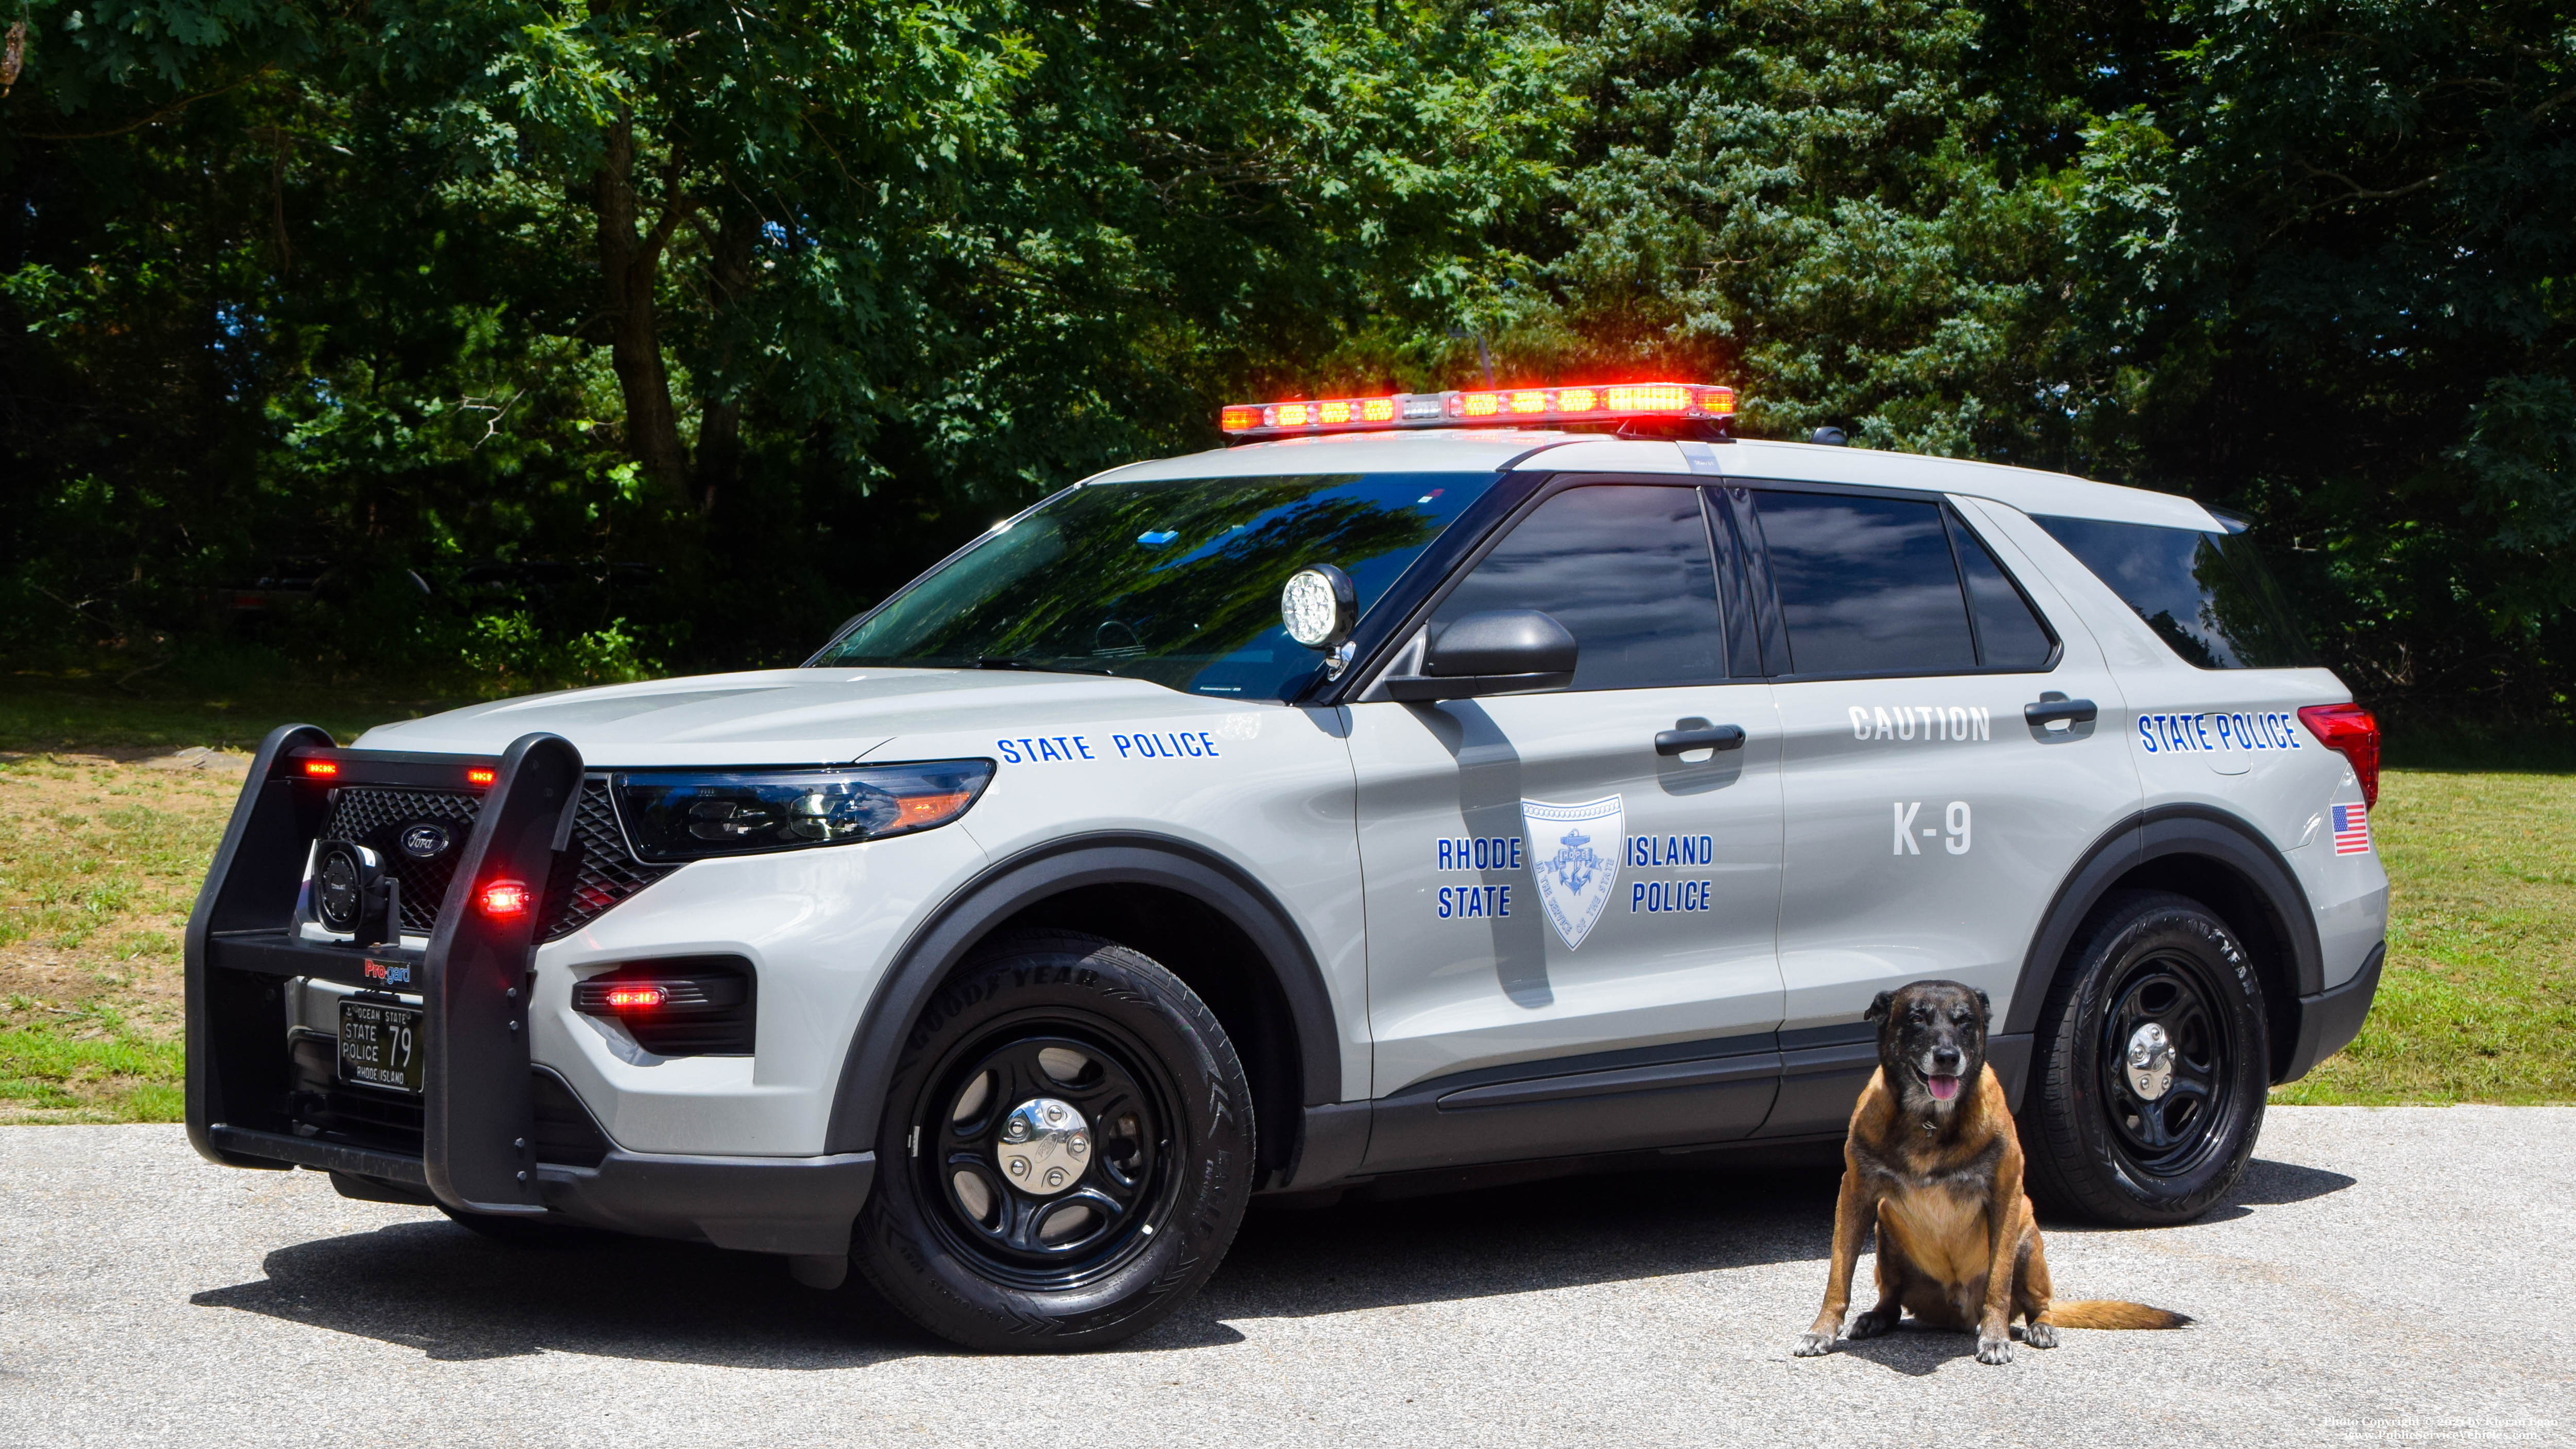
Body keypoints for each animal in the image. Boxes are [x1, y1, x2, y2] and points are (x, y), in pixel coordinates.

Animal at [1793, 983, 2194, 1369]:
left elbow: (1998, 1285)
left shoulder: (2005, 1196)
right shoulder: (1855, 1194)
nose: (1948, 1056)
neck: (1930, 1121)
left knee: (2038, 1304)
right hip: (1885, 1235)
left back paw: (2038, 1327)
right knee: (1891, 1301)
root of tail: (1959, 1315)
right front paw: (1822, 1330)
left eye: (1965, 1021)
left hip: (2027, 1242)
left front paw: (1996, 1338)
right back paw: (1876, 1318)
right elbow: (1839, 1275)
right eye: (1917, 1018)